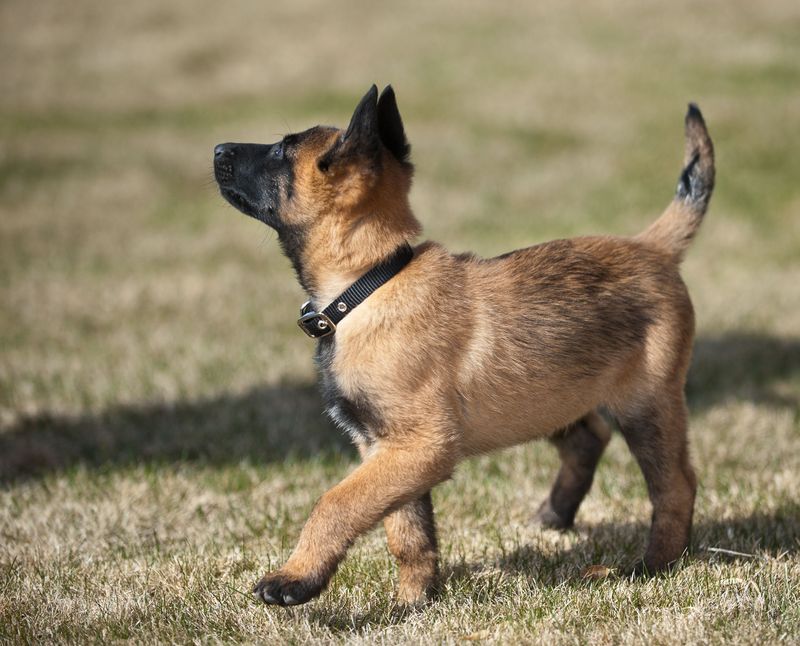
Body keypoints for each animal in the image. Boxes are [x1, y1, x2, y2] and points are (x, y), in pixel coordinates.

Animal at [214, 85, 720, 608]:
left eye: (281, 151)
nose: (216, 150)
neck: (369, 283)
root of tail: (652, 248)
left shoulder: (421, 445)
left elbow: (336, 503)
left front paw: (295, 578)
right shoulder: (385, 447)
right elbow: (408, 532)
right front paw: (413, 602)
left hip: (644, 404)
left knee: (676, 485)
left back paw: (654, 565)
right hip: (547, 393)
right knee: (590, 438)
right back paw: (554, 517)